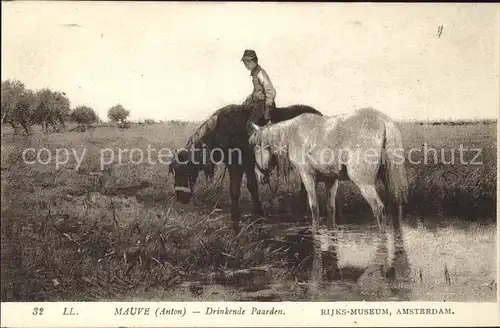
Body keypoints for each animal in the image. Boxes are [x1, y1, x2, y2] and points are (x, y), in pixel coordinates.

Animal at [169, 104, 324, 232]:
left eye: (185, 171)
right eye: (174, 172)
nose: (180, 197)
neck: (224, 130)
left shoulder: (241, 164)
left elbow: (240, 189)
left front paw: (245, 216)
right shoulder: (239, 165)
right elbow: (245, 188)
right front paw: (248, 213)